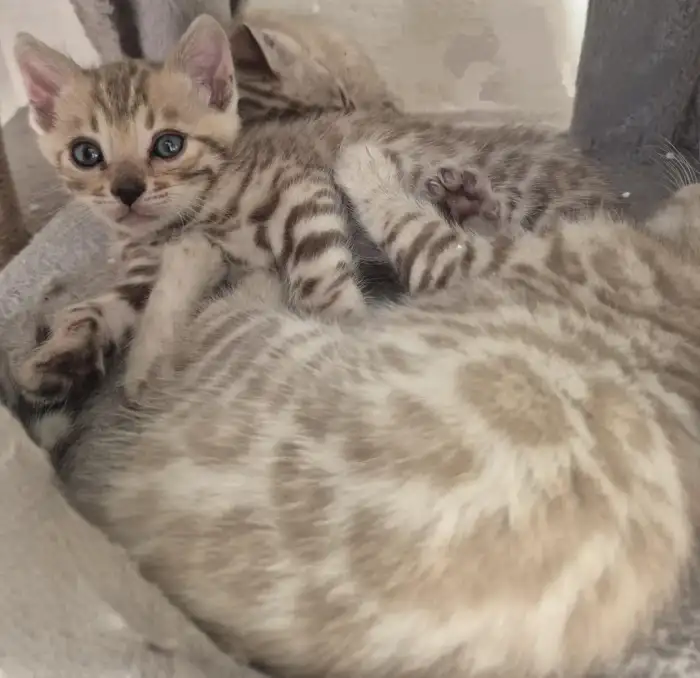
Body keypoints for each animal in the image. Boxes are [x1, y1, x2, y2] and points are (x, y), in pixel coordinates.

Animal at [4, 141, 698, 678]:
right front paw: (468, 199)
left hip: (256, 348)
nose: (686, 174)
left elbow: (411, 226)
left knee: (155, 366)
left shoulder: (466, 266)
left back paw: (208, 262)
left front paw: (365, 167)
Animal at [12, 14, 617, 408]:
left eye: (168, 144)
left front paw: (340, 325)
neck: (182, 220)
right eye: (86, 154)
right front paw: (59, 358)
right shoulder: (143, 268)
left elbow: (316, 274)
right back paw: (460, 202)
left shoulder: (299, 188)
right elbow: (96, 308)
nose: (127, 191)